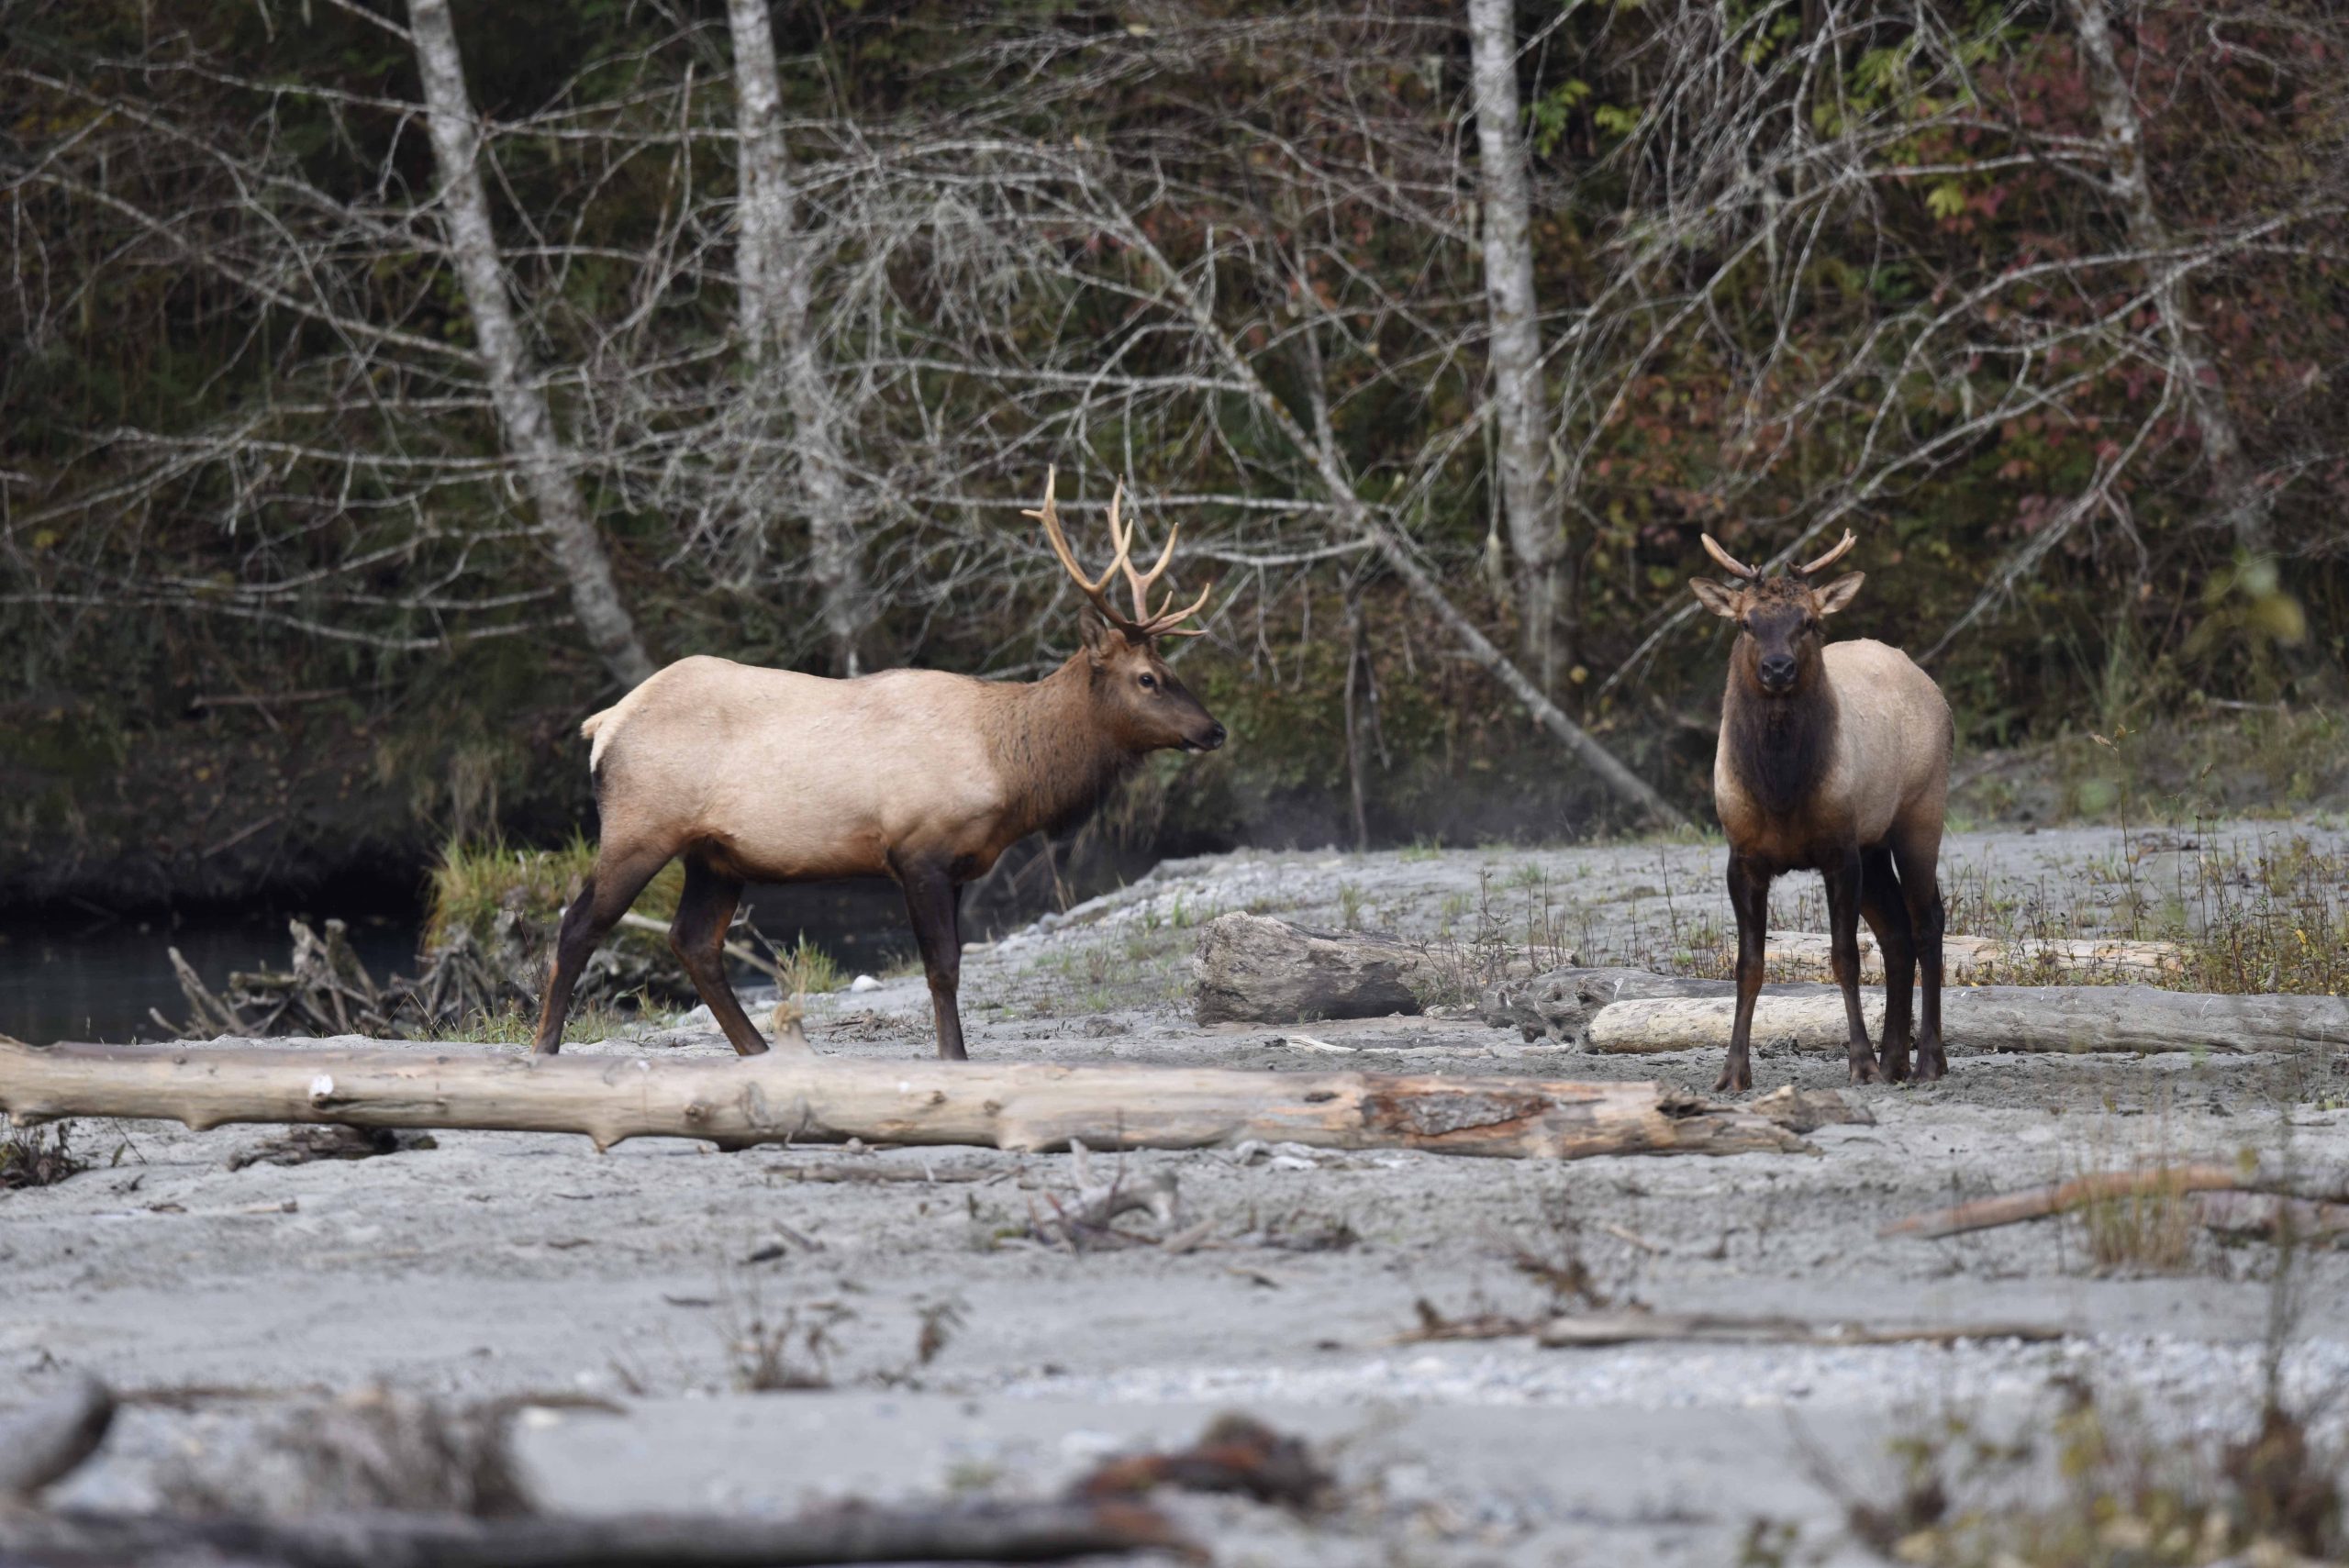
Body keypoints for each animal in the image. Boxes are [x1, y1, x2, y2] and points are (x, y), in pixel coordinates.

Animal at [538, 473, 1230, 1065]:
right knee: (579, 924)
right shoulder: (917, 848)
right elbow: (942, 965)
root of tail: (604, 724)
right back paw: (546, 1047)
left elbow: (950, 963)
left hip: (715, 853)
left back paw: (761, 1051)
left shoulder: (958, 862)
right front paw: (953, 1055)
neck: (1009, 767)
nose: (1214, 730)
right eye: (1147, 678)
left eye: (1172, 669)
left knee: (693, 940)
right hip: (640, 825)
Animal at [1691, 526, 1944, 1089]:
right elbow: (1748, 966)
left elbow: (1845, 957)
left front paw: (1861, 1063)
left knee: (1928, 920)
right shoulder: (1743, 857)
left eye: (1807, 621)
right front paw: (1732, 1072)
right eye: (1746, 622)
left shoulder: (1838, 850)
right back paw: (1896, 1059)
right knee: (1896, 933)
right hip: (1873, 845)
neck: (1781, 789)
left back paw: (1928, 1061)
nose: (1778, 667)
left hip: (1920, 814)